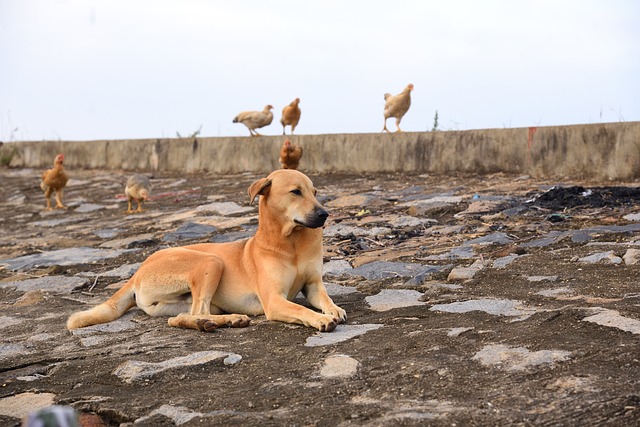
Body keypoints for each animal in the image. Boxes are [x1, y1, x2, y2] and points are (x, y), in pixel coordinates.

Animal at [67, 171, 348, 334]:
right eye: (295, 192)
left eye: (315, 192)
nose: (324, 214)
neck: (291, 243)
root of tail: (137, 272)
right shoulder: (274, 301)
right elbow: (301, 310)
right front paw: (319, 319)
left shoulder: (313, 285)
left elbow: (325, 299)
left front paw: (333, 309)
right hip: (210, 261)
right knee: (196, 312)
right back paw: (226, 320)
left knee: (180, 317)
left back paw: (215, 322)